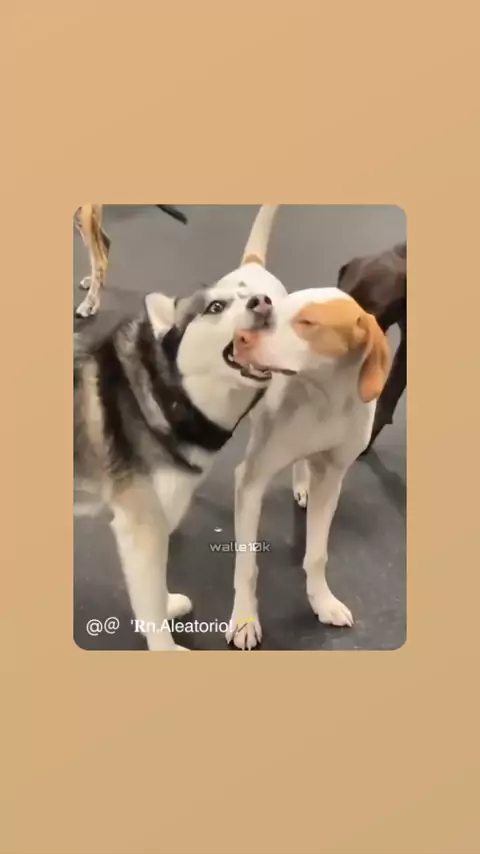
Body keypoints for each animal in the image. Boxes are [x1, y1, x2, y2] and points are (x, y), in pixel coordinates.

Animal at [74, 205, 288, 650]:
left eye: (261, 301)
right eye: (215, 308)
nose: (262, 303)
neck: (171, 393)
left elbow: (152, 589)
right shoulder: (140, 524)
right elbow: (150, 592)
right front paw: (165, 645)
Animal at [225, 284, 390, 649]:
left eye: (307, 322)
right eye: (272, 314)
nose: (241, 338)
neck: (325, 397)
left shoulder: (331, 479)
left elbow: (316, 555)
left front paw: (322, 601)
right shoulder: (251, 482)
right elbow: (247, 565)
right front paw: (244, 619)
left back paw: (302, 486)